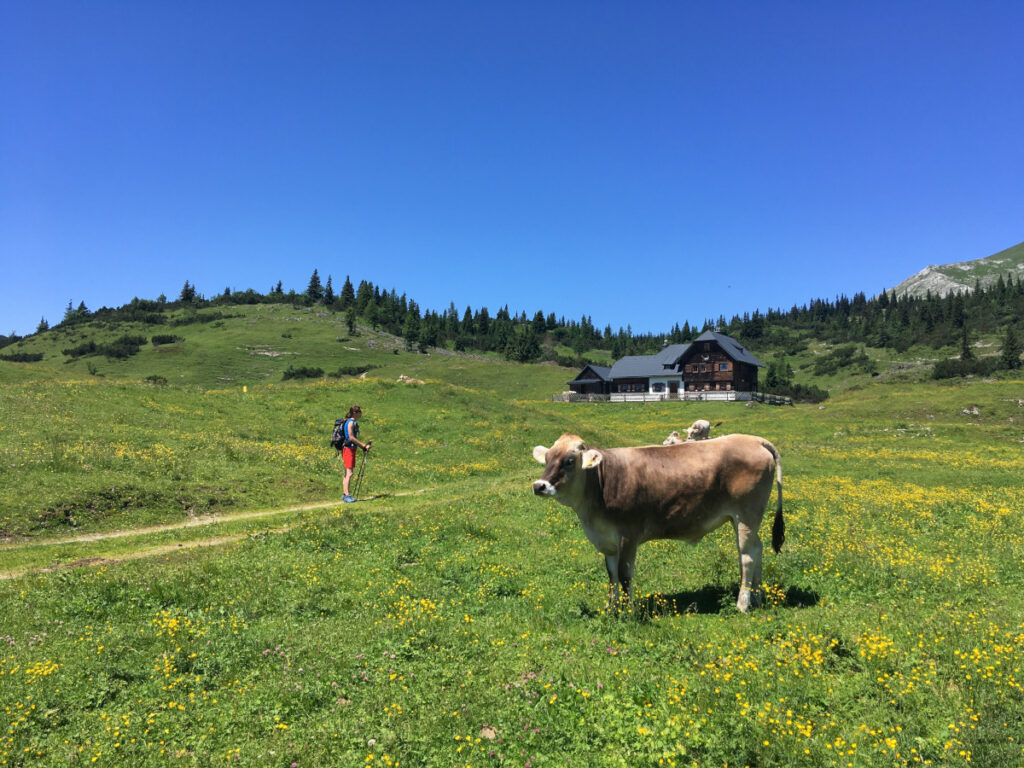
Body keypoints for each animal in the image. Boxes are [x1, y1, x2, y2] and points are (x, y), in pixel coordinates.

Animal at [532, 434, 778, 614]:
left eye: (569, 461)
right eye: (547, 459)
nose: (539, 485)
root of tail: (754, 439)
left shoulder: (629, 535)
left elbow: (624, 574)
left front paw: (628, 611)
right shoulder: (607, 540)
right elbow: (611, 575)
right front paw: (611, 608)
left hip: (746, 516)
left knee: (746, 557)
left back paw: (742, 604)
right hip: (749, 520)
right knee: (757, 549)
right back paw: (756, 598)